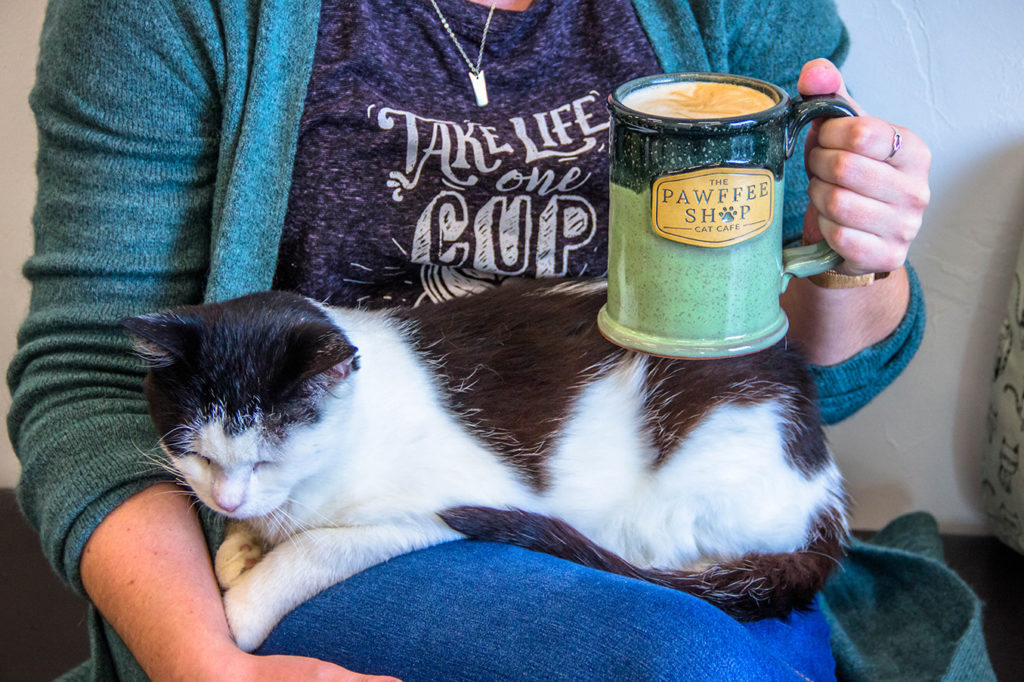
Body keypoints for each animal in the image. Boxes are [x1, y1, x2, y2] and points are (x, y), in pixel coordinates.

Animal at [121, 278, 847, 651]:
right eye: (195, 452)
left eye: (269, 457)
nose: (227, 502)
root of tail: (825, 491)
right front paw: (239, 548)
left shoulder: (435, 505)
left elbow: (312, 553)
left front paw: (243, 607)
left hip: (665, 509)